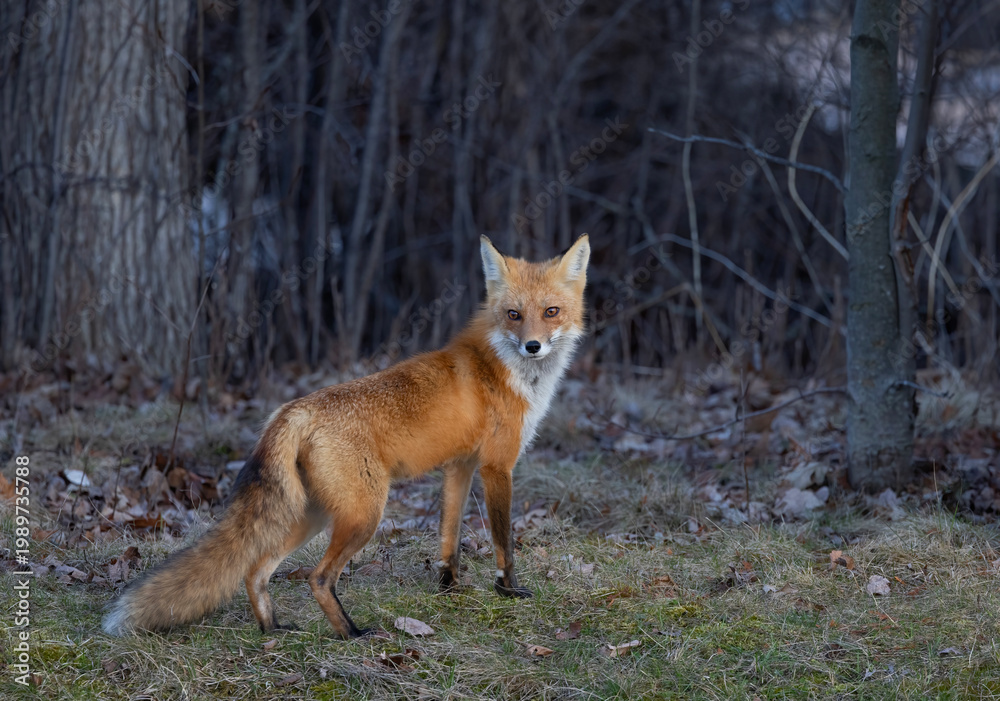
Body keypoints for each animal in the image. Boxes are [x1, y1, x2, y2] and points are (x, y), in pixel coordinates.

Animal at [103, 234, 590, 639]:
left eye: (550, 312)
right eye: (514, 315)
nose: (533, 346)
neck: (507, 370)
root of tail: (291, 411)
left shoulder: (460, 466)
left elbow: (448, 538)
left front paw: (449, 588)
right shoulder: (497, 466)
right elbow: (504, 540)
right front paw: (509, 590)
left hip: (312, 514)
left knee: (255, 570)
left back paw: (273, 628)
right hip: (363, 514)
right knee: (318, 578)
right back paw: (351, 633)